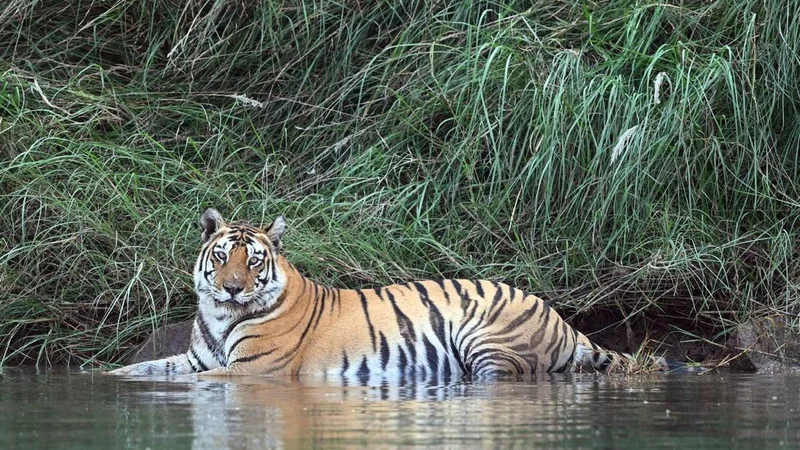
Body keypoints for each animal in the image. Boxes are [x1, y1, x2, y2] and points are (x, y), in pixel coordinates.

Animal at [108, 208, 628, 378]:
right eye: (221, 257)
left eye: (253, 261)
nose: (233, 289)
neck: (219, 316)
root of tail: (562, 319)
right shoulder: (196, 359)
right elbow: (146, 369)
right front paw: (107, 376)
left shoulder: (254, 372)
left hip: (487, 341)